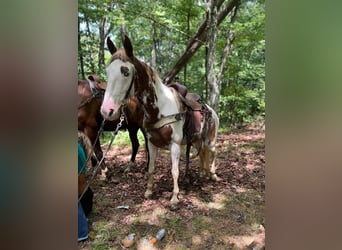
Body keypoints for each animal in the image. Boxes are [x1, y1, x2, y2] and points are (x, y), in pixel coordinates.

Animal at [101, 34, 219, 207]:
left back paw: (213, 174)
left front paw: (175, 197)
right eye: (108, 71)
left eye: (125, 72)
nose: (106, 110)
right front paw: (149, 191)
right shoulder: (152, 143)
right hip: (198, 141)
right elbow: (151, 167)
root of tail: (211, 110)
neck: (160, 109)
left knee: (214, 152)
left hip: (210, 140)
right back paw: (204, 174)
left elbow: (174, 171)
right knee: (203, 154)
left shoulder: (175, 145)